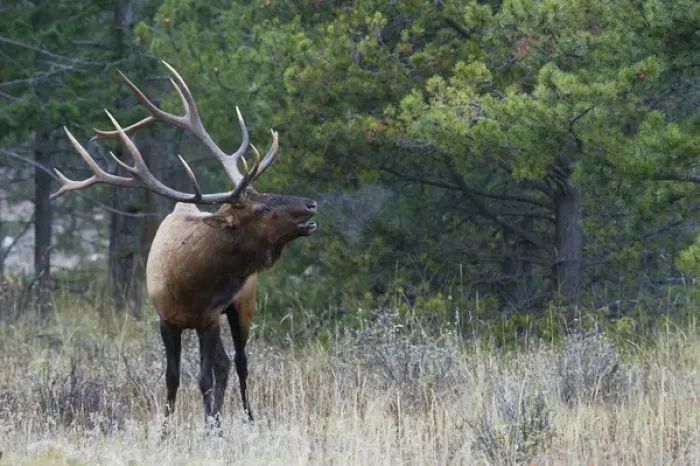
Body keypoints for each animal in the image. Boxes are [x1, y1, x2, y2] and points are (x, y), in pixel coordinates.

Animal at [49, 61, 318, 434]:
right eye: (262, 208)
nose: (311, 204)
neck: (190, 283)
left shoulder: (210, 318)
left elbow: (205, 377)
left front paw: (210, 429)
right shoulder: (166, 319)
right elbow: (173, 377)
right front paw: (168, 431)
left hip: (243, 306)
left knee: (240, 363)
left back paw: (247, 419)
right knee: (225, 365)